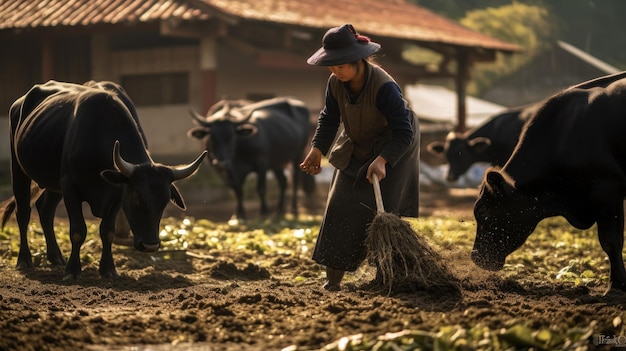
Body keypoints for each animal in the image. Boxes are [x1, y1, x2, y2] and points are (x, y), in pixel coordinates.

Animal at [6, 80, 206, 280]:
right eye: (136, 198)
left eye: (164, 201)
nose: (150, 246)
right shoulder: (70, 186)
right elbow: (78, 231)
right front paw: (72, 270)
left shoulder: (116, 194)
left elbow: (107, 231)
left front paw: (108, 269)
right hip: (19, 170)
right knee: (23, 212)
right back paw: (24, 259)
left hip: (53, 184)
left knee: (46, 210)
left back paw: (55, 256)